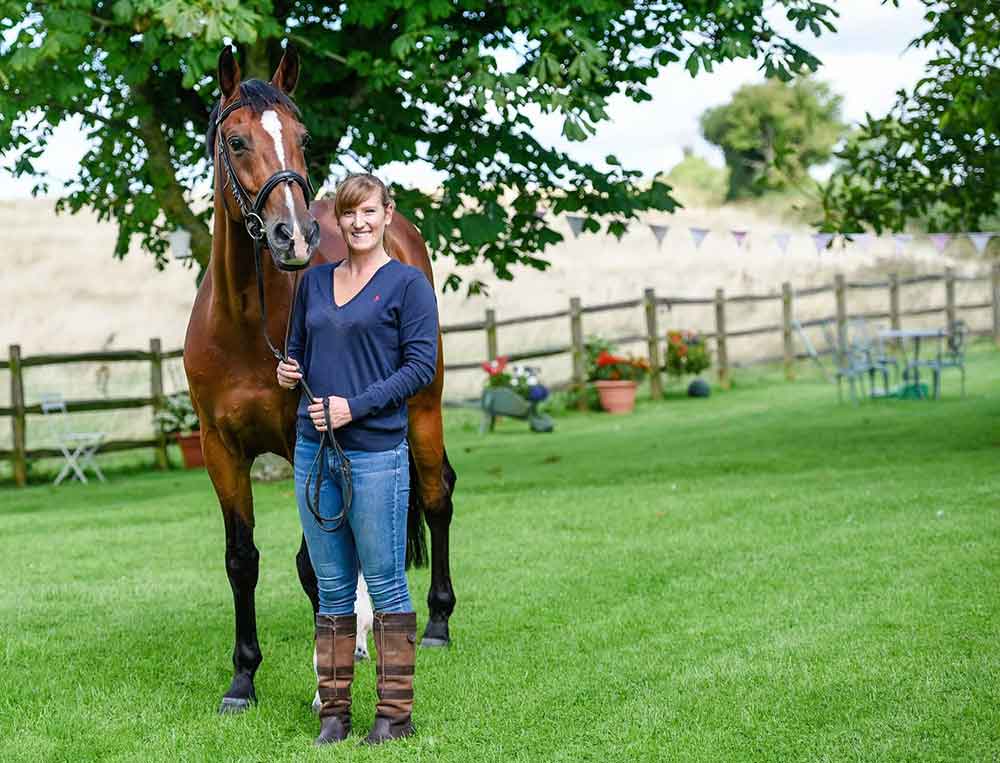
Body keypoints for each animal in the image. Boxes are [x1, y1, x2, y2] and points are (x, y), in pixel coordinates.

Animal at [183, 44, 457, 714]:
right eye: (236, 141)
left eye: (302, 137)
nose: (295, 235)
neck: (246, 322)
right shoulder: (219, 449)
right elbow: (242, 559)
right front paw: (242, 681)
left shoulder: (306, 437)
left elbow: (314, 565)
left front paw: (322, 683)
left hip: (423, 409)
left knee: (435, 494)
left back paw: (436, 623)